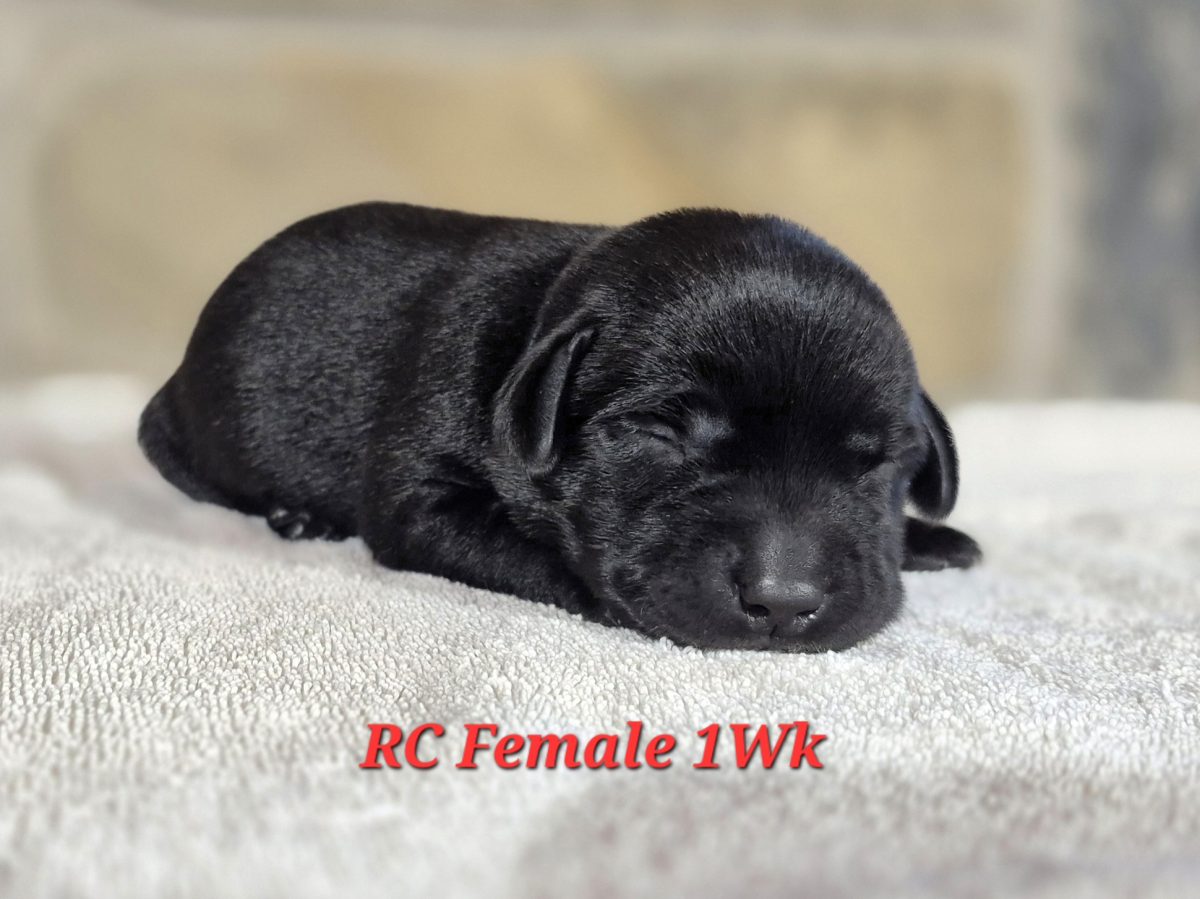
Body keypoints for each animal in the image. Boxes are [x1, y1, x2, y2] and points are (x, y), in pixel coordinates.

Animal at [139, 202, 981, 652]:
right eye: (659, 432)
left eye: (876, 463)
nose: (783, 601)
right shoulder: (424, 492)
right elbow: (539, 558)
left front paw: (930, 538)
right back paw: (296, 514)